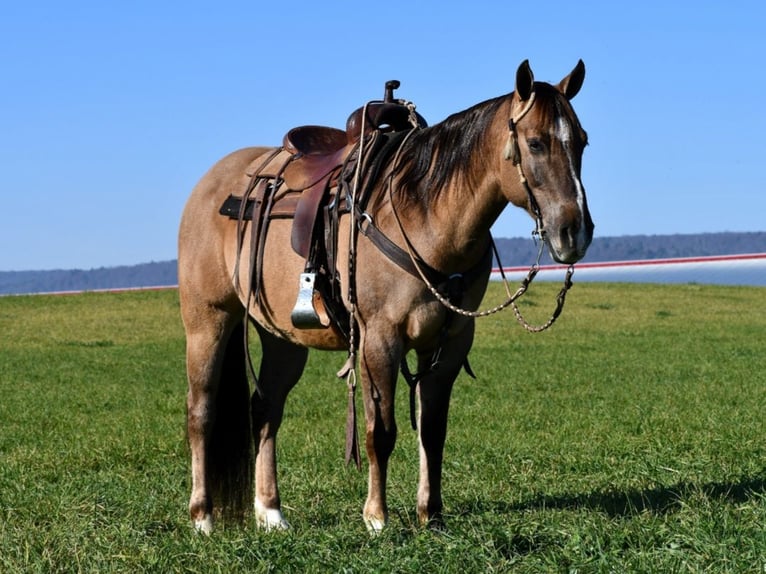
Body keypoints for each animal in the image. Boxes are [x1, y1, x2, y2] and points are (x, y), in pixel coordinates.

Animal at [178, 60, 592, 536]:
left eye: (582, 141)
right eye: (536, 142)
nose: (574, 232)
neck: (426, 214)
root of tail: (209, 184)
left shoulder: (450, 344)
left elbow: (432, 431)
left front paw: (431, 514)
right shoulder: (379, 339)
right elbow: (381, 432)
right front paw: (376, 517)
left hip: (283, 338)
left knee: (265, 409)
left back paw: (270, 512)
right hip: (207, 321)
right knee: (201, 412)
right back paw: (203, 516)